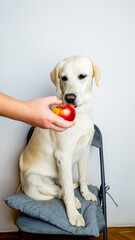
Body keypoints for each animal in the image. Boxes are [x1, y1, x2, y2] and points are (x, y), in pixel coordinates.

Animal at [19, 55, 101, 227]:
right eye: (64, 78)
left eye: (82, 76)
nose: (69, 98)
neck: (81, 115)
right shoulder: (63, 156)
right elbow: (68, 192)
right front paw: (73, 215)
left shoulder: (84, 152)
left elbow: (82, 176)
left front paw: (85, 192)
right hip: (35, 178)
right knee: (61, 191)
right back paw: (74, 201)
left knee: (65, 185)